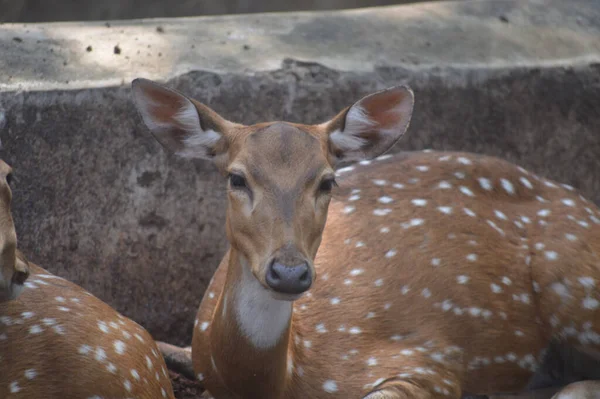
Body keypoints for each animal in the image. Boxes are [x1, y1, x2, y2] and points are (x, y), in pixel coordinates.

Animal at [130, 79, 600, 399]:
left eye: (327, 181)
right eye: (236, 178)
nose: (289, 272)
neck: (279, 377)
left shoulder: (427, 360)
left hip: (574, 280)